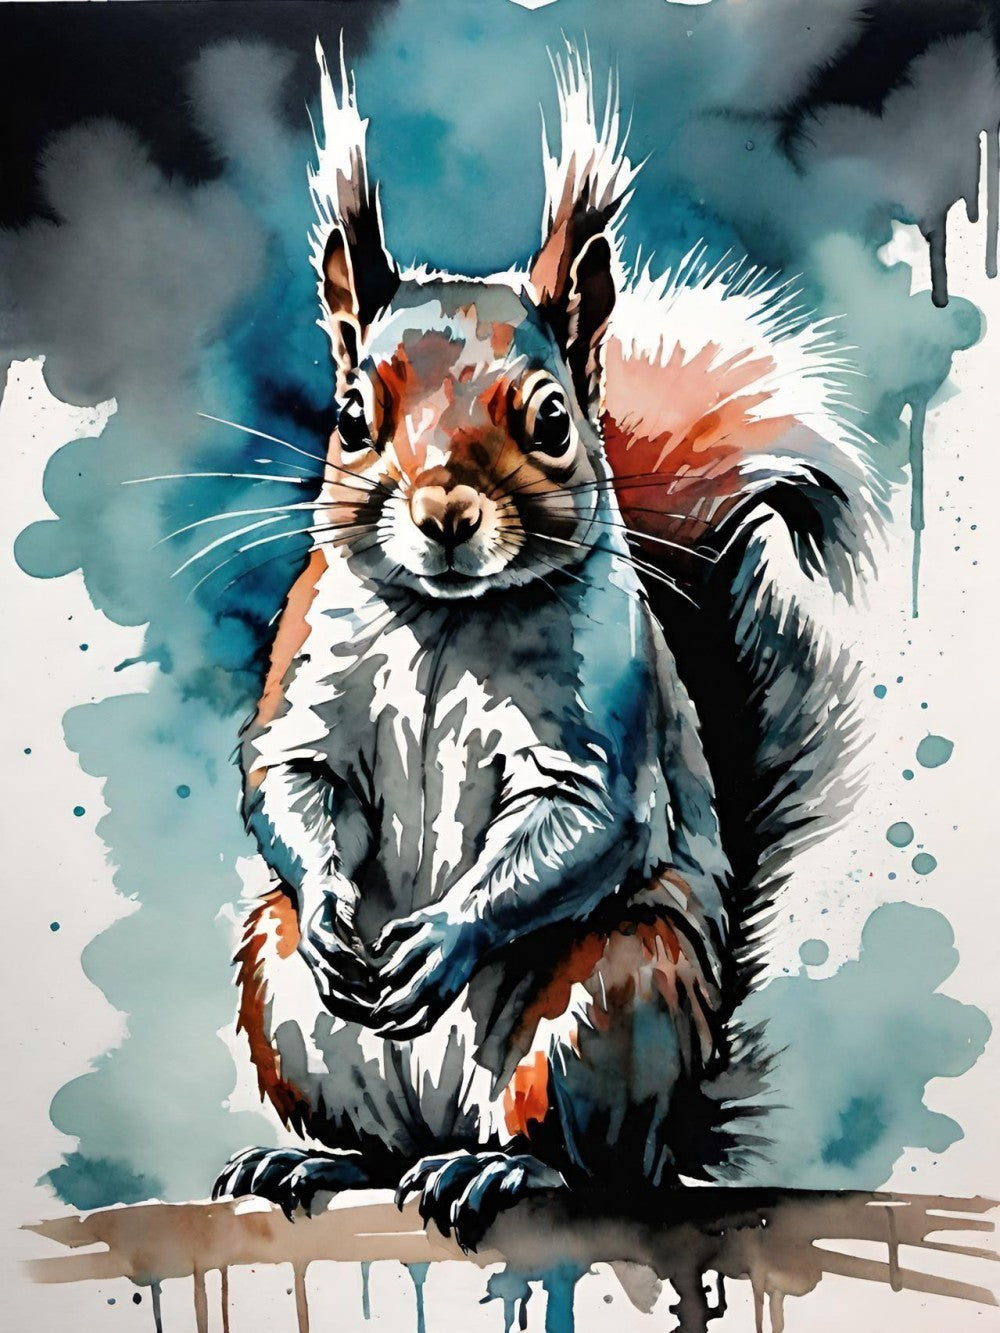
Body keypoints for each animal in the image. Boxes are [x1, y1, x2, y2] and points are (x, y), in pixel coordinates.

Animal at [212, 42, 874, 1250]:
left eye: (554, 420)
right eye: (350, 417)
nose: (443, 512)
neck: (445, 617)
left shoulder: (597, 721)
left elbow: (578, 819)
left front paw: (441, 937)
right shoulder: (309, 674)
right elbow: (289, 778)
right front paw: (336, 905)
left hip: (614, 996)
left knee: (578, 1155)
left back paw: (503, 1170)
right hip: (279, 993)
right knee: (378, 1139)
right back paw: (313, 1157)